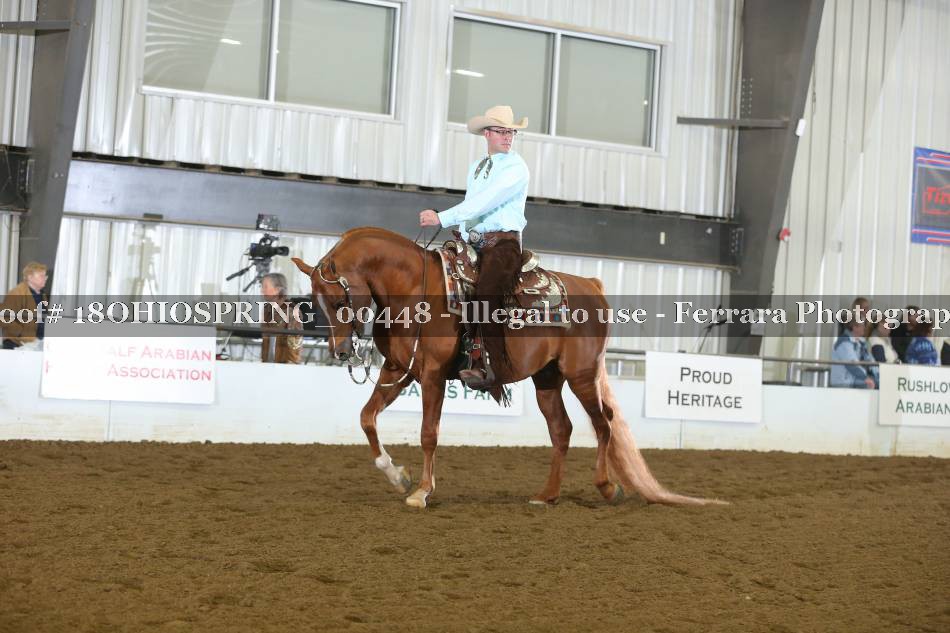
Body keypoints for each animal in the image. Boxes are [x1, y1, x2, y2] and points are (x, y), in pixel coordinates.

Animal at [292, 227, 725, 509]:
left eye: (337, 299)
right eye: (315, 304)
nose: (341, 351)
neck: (414, 287)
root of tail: (591, 285)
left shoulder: (432, 376)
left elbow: (429, 434)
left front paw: (423, 491)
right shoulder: (399, 370)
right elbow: (367, 417)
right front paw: (397, 475)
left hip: (581, 375)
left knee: (603, 424)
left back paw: (606, 488)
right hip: (547, 380)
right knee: (562, 430)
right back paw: (547, 495)